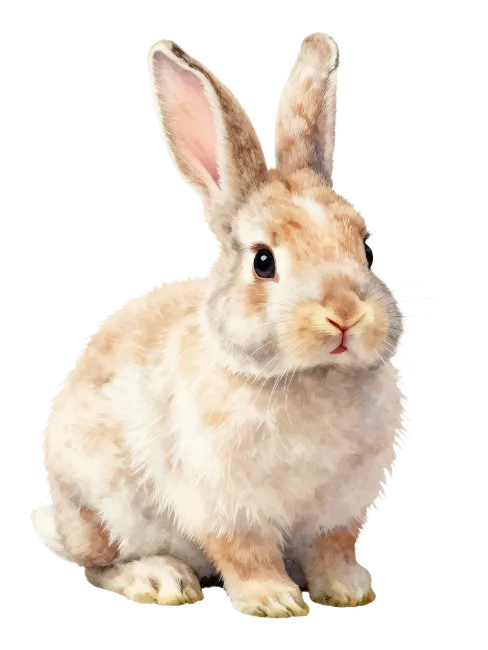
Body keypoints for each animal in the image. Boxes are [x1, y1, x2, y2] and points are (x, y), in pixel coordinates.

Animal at [33, 33, 405, 617]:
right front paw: (276, 602)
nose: (345, 315)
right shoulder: (225, 504)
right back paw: (161, 580)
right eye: (263, 262)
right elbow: (246, 554)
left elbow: (331, 549)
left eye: (366, 250)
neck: (306, 379)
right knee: (98, 564)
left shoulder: (339, 509)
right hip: (99, 509)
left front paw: (348, 590)